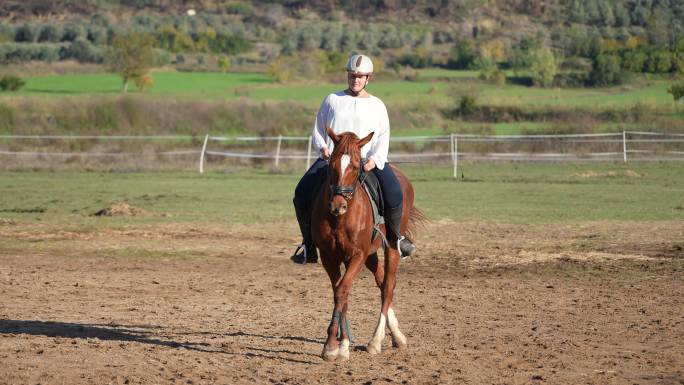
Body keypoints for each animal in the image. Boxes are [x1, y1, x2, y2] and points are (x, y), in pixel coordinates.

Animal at [312, 128, 422, 360]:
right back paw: (397, 336)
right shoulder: (329, 256)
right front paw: (341, 345)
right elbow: (340, 292)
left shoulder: (357, 255)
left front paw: (332, 347)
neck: (340, 219)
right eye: (332, 164)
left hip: (390, 248)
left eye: (356, 166)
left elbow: (342, 290)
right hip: (370, 254)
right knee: (381, 280)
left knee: (388, 286)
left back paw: (376, 341)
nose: (338, 206)